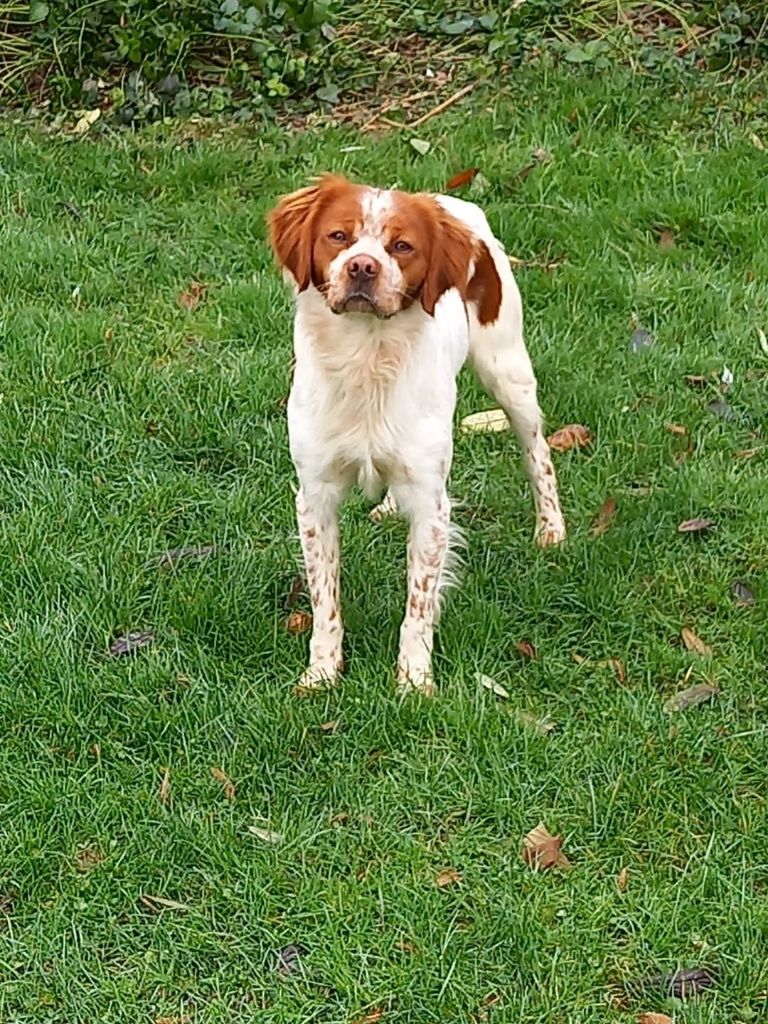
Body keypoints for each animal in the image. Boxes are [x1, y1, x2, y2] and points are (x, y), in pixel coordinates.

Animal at [268, 176, 569, 700]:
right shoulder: (316, 494)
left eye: (402, 246)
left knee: (538, 450)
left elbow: (419, 602)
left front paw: (414, 680)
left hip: (508, 369)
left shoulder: (432, 504)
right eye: (338, 237)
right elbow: (326, 599)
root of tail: (453, 200)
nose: (362, 268)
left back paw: (551, 527)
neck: (366, 356)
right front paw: (322, 673)